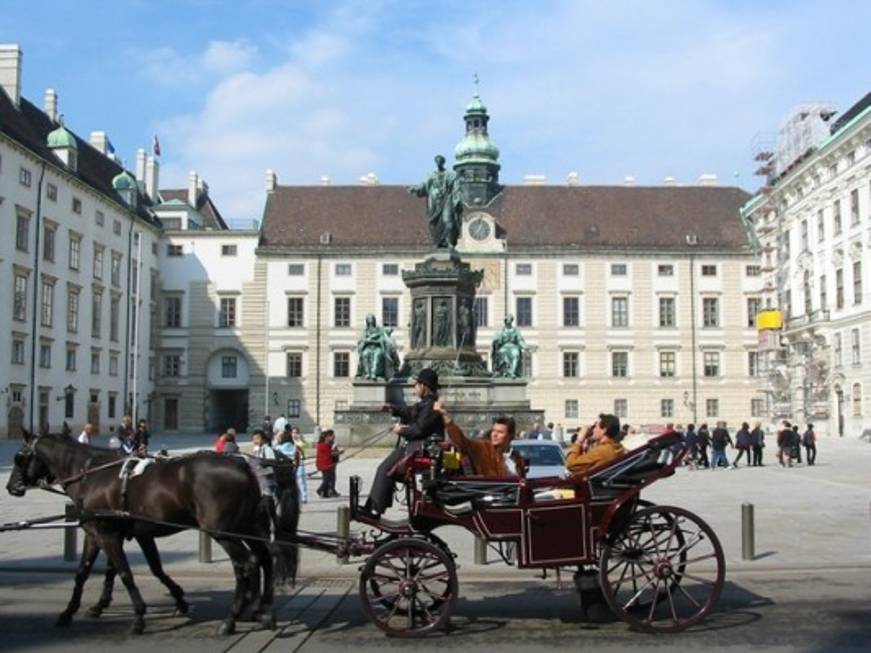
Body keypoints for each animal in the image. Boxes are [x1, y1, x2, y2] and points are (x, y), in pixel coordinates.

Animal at [6, 430, 302, 636]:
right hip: (245, 526)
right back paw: (263, 612)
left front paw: (138, 617)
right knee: (264, 558)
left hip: (222, 530)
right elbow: (93, 572)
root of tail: (248, 467)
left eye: (20, 457)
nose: (11, 487)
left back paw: (232, 619)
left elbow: (124, 572)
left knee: (247, 564)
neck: (90, 474)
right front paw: (73, 611)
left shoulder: (107, 534)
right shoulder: (112, 532)